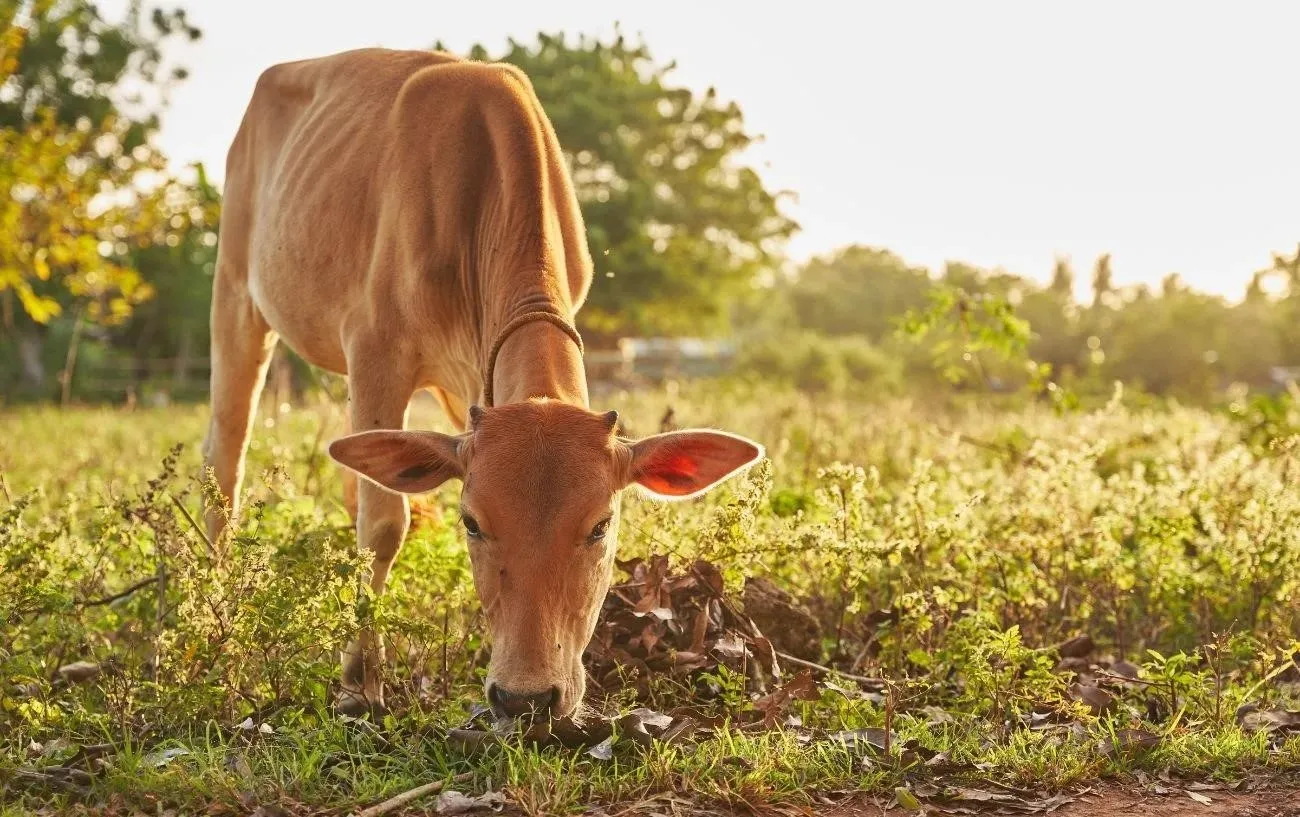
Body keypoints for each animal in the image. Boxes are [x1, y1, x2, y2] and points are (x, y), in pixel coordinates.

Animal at [204, 47, 764, 718]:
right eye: (472, 521)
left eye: (601, 525)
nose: (527, 698)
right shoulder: (374, 350)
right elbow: (383, 525)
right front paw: (360, 679)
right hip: (237, 294)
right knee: (224, 462)